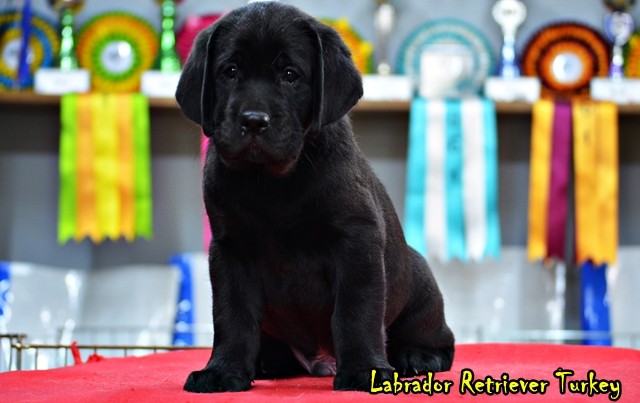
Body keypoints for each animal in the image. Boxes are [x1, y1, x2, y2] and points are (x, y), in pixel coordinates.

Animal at [175, 1, 456, 392]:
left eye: (290, 74)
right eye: (230, 71)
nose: (253, 120)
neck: (272, 183)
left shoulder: (358, 241)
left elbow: (355, 310)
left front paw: (364, 370)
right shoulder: (231, 249)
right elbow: (231, 316)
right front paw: (223, 370)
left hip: (419, 284)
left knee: (439, 337)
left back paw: (419, 356)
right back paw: (266, 362)